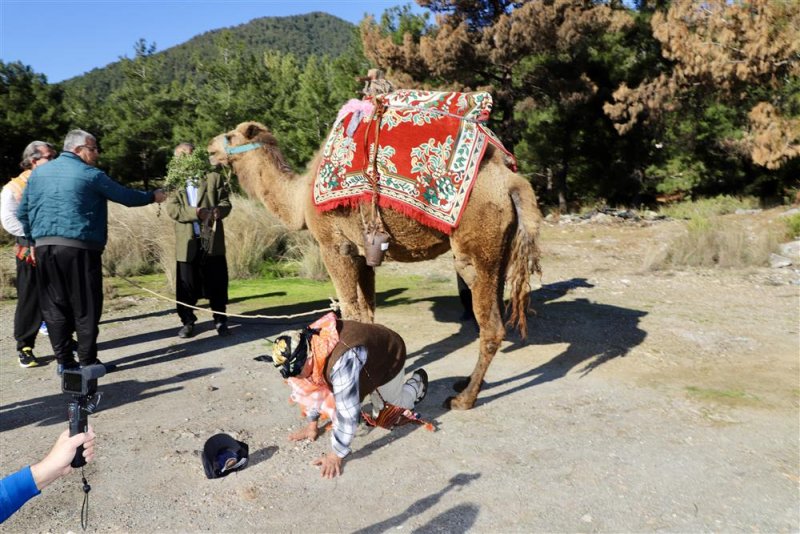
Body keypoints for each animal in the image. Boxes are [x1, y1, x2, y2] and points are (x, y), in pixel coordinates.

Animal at [206, 121, 544, 410]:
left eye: (231, 135)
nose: (209, 148)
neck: (300, 199)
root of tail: (511, 181)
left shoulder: (334, 247)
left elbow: (348, 310)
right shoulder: (362, 254)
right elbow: (367, 313)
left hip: (476, 246)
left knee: (491, 325)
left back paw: (464, 399)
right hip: (500, 247)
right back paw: (465, 384)